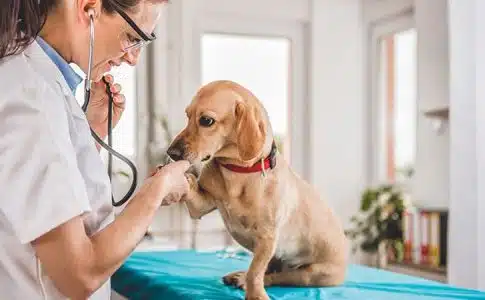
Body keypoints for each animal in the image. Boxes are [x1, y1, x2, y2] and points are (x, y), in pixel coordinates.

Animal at [167, 79, 348, 300]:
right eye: (187, 116)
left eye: (206, 121)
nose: (171, 152)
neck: (236, 172)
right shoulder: (200, 206)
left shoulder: (266, 238)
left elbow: (256, 271)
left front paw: (255, 294)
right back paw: (239, 276)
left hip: (311, 274)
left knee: (276, 276)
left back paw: (245, 280)